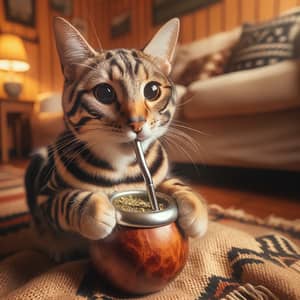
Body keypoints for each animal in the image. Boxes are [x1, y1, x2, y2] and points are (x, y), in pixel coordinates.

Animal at [24, 17, 207, 258]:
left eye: (153, 90)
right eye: (104, 93)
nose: (137, 123)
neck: (123, 168)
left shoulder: (162, 176)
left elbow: (174, 182)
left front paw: (196, 208)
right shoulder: (45, 197)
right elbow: (67, 199)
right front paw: (95, 209)